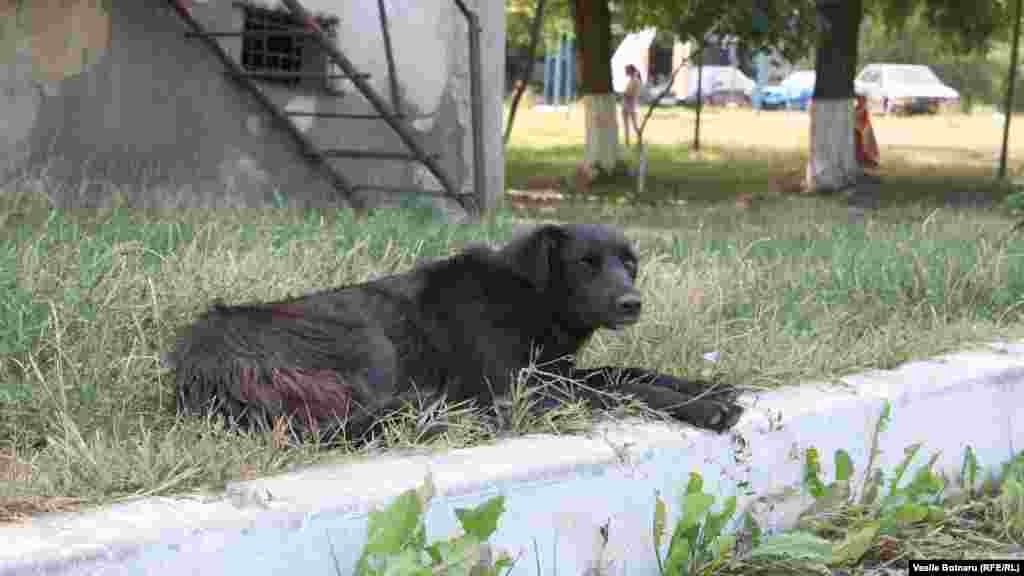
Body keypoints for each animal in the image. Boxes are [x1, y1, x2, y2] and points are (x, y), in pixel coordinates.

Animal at [169, 223, 745, 438]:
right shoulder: (519, 389)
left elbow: (623, 371)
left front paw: (705, 386)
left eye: (630, 264)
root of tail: (203, 364)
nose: (633, 303)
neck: (528, 296)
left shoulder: (552, 370)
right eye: (586, 264)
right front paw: (704, 408)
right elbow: (622, 389)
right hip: (368, 339)